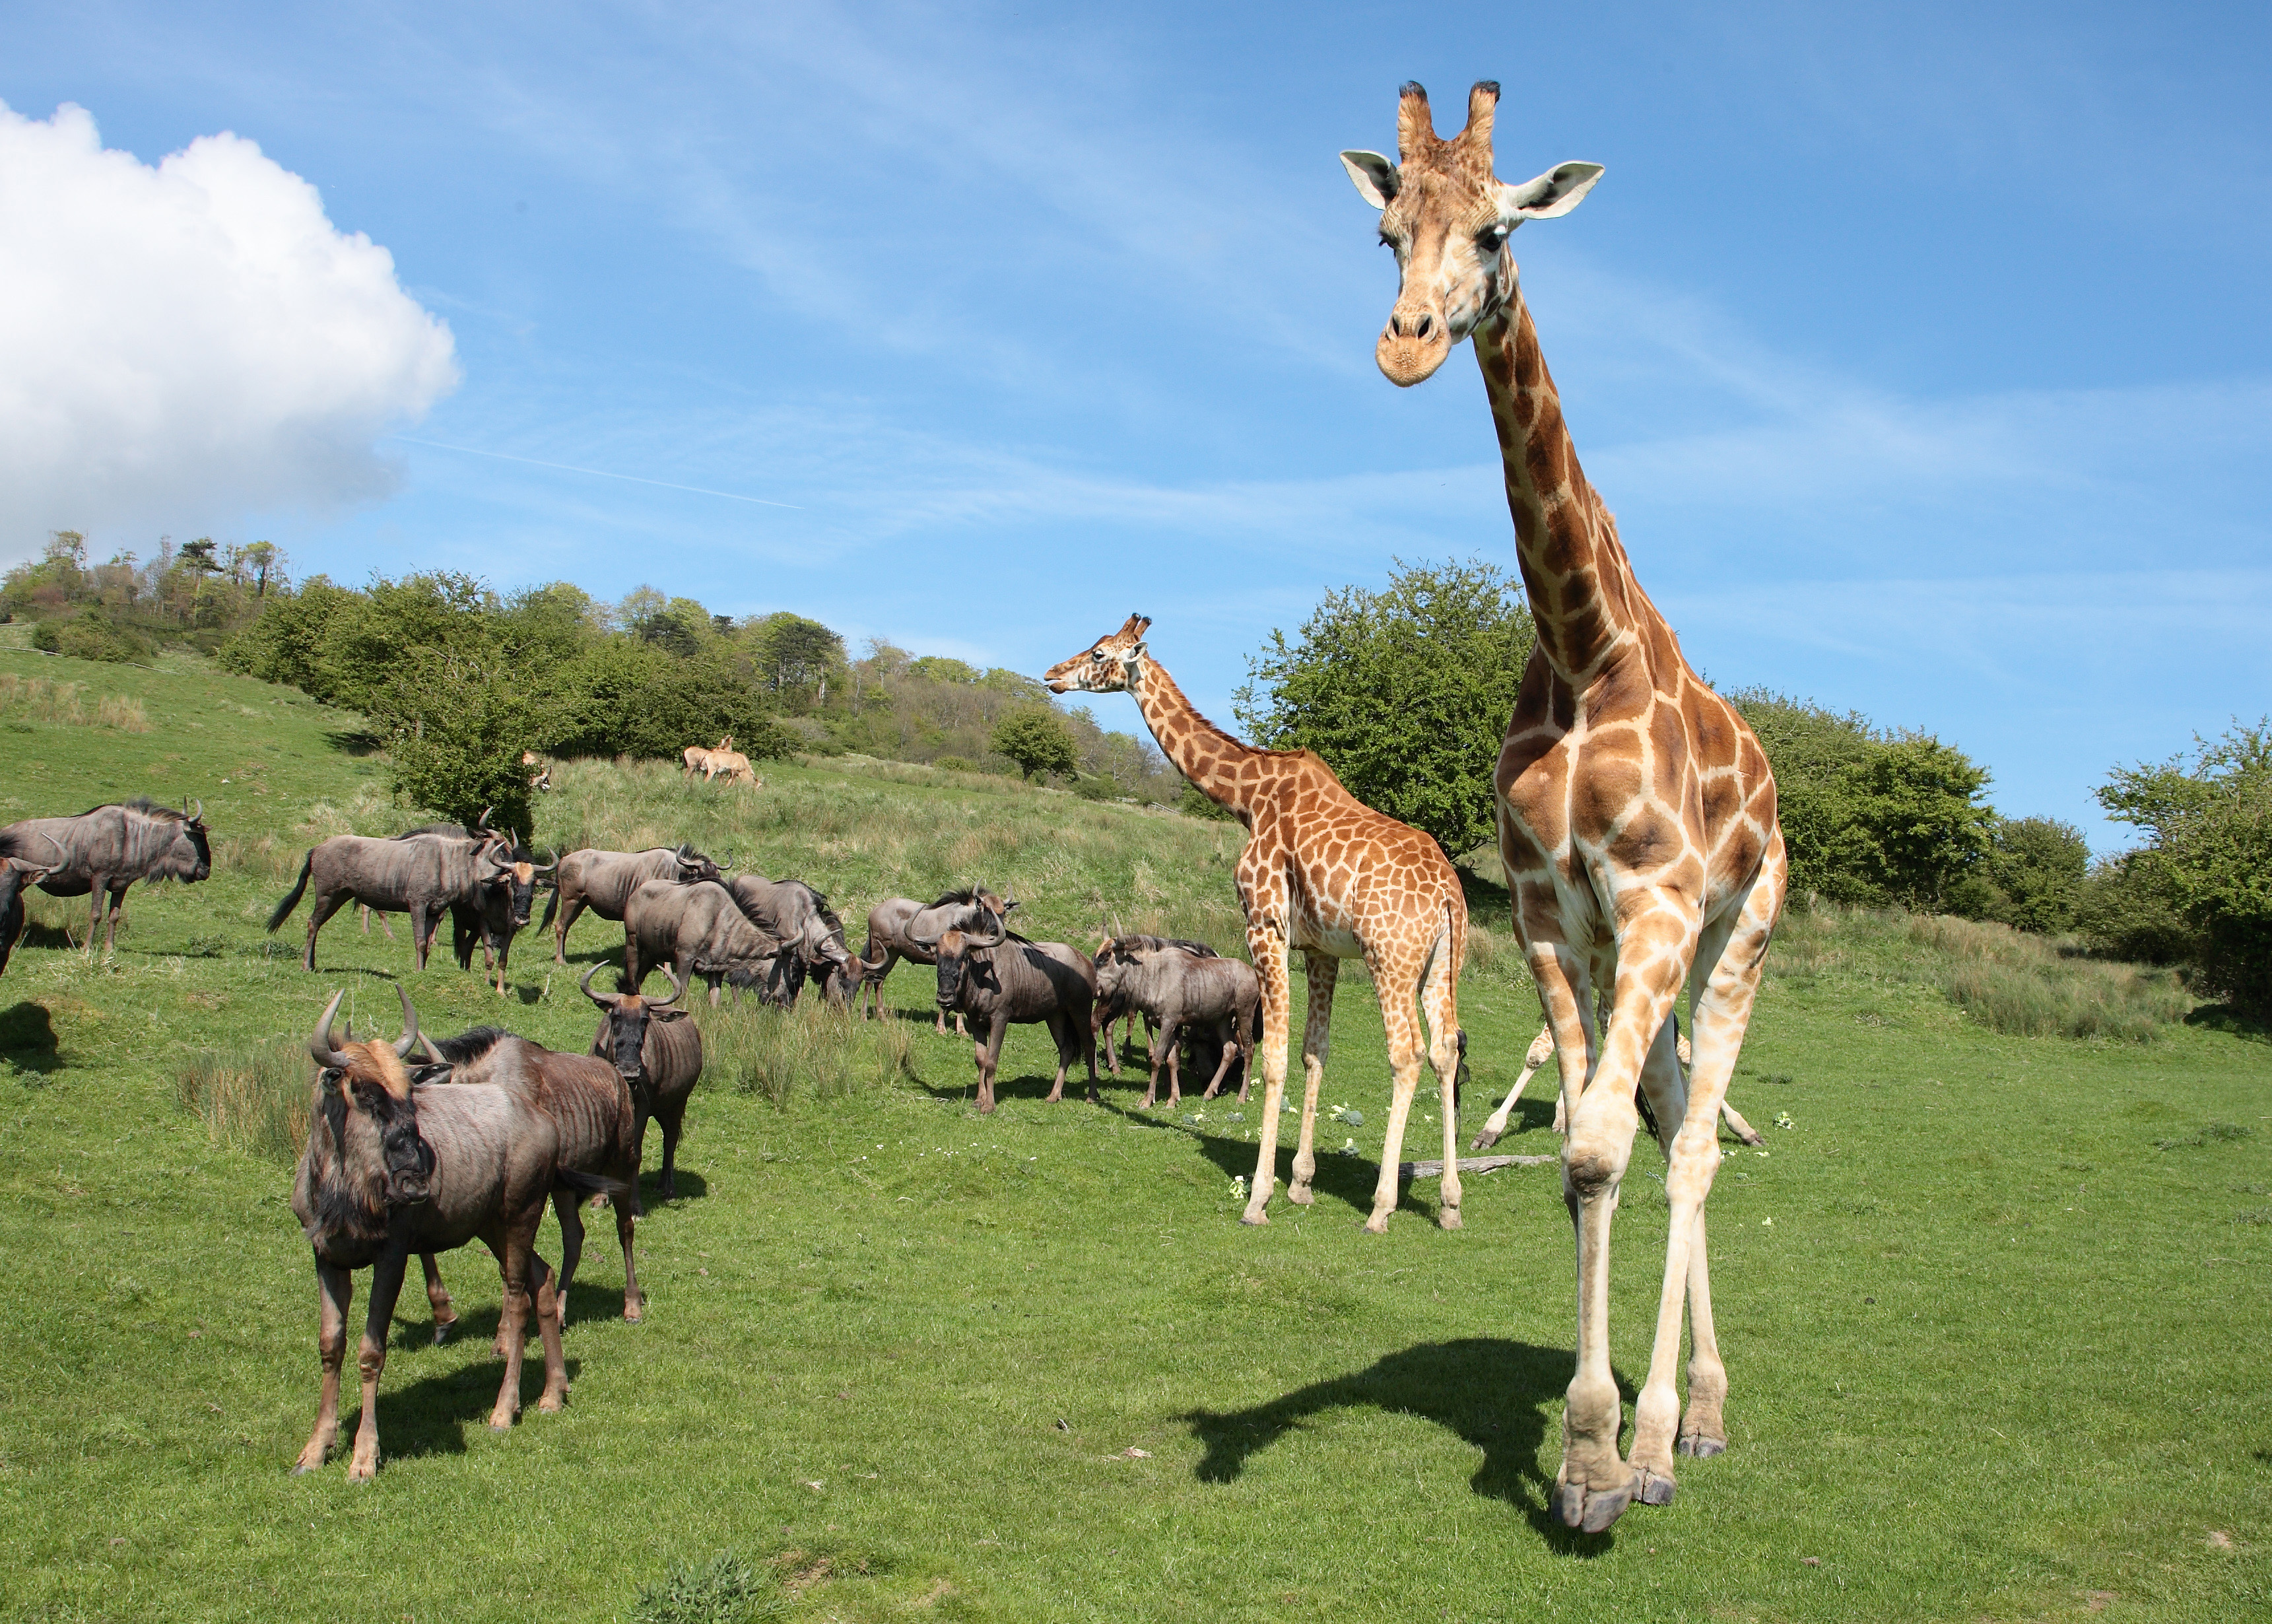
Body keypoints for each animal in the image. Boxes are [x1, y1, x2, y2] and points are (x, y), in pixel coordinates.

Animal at [1044, 618, 1468, 1234]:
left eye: (1099, 654)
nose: (1051, 675)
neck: (1245, 797)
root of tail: (1448, 894)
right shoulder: (1321, 949)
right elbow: (1315, 1051)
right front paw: (1301, 1184)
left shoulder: (1265, 924)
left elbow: (1271, 1057)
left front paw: (1260, 1198)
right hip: (1440, 964)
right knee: (1445, 1051)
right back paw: (1451, 1203)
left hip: (1389, 958)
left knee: (1407, 1054)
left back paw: (1382, 1208)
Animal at [1339, 81, 1786, 1531]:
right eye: (1386, 233)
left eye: (1493, 230)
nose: (1405, 349)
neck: (1585, 650)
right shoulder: (1548, 911)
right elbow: (1589, 1152)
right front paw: (1590, 1453)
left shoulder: (1656, 898)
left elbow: (1595, 1145)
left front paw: (1605, 1463)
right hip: (1620, 951)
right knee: (1659, 1111)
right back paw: (1685, 1417)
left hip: (1735, 932)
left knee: (1693, 1144)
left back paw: (1683, 1429)